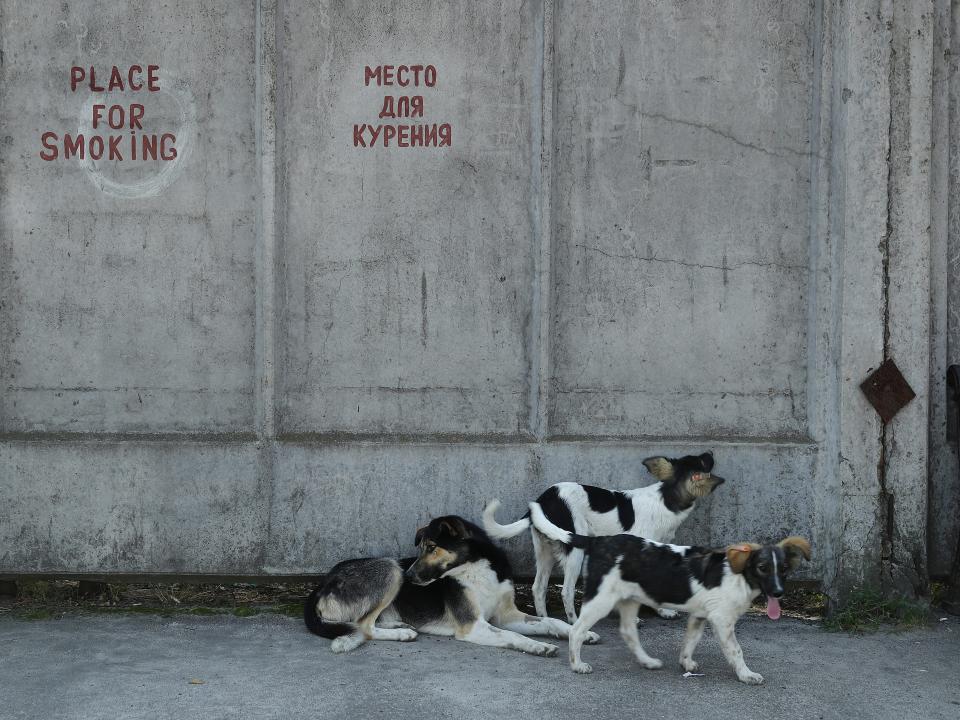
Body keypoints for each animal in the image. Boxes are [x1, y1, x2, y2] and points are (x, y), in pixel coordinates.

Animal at [304, 516, 596, 656]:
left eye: (431, 547)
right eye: (421, 548)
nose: (410, 576)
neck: (476, 567)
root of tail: (321, 585)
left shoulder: (506, 615)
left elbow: (549, 622)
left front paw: (581, 632)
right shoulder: (473, 626)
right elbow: (513, 636)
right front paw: (537, 647)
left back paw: (399, 624)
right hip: (390, 568)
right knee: (363, 627)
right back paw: (402, 634)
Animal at [484, 452, 724, 620]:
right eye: (703, 462)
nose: (711, 451)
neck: (666, 498)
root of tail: (545, 498)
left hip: (545, 551)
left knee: (538, 587)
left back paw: (545, 620)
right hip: (574, 550)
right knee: (567, 592)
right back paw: (574, 623)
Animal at [524, 504, 808, 684]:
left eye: (783, 569)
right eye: (762, 568)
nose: (778, 593)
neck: (739, 576)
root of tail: (600, 540)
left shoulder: (699, 615)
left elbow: (690, 642)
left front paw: (686, 664)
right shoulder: (722, 620)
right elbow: (736, 651)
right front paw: (746, 675)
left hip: (628, 599)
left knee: (628, 632)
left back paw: (647, 661)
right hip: (601, 599)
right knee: (577, 630)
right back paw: (577, 664)